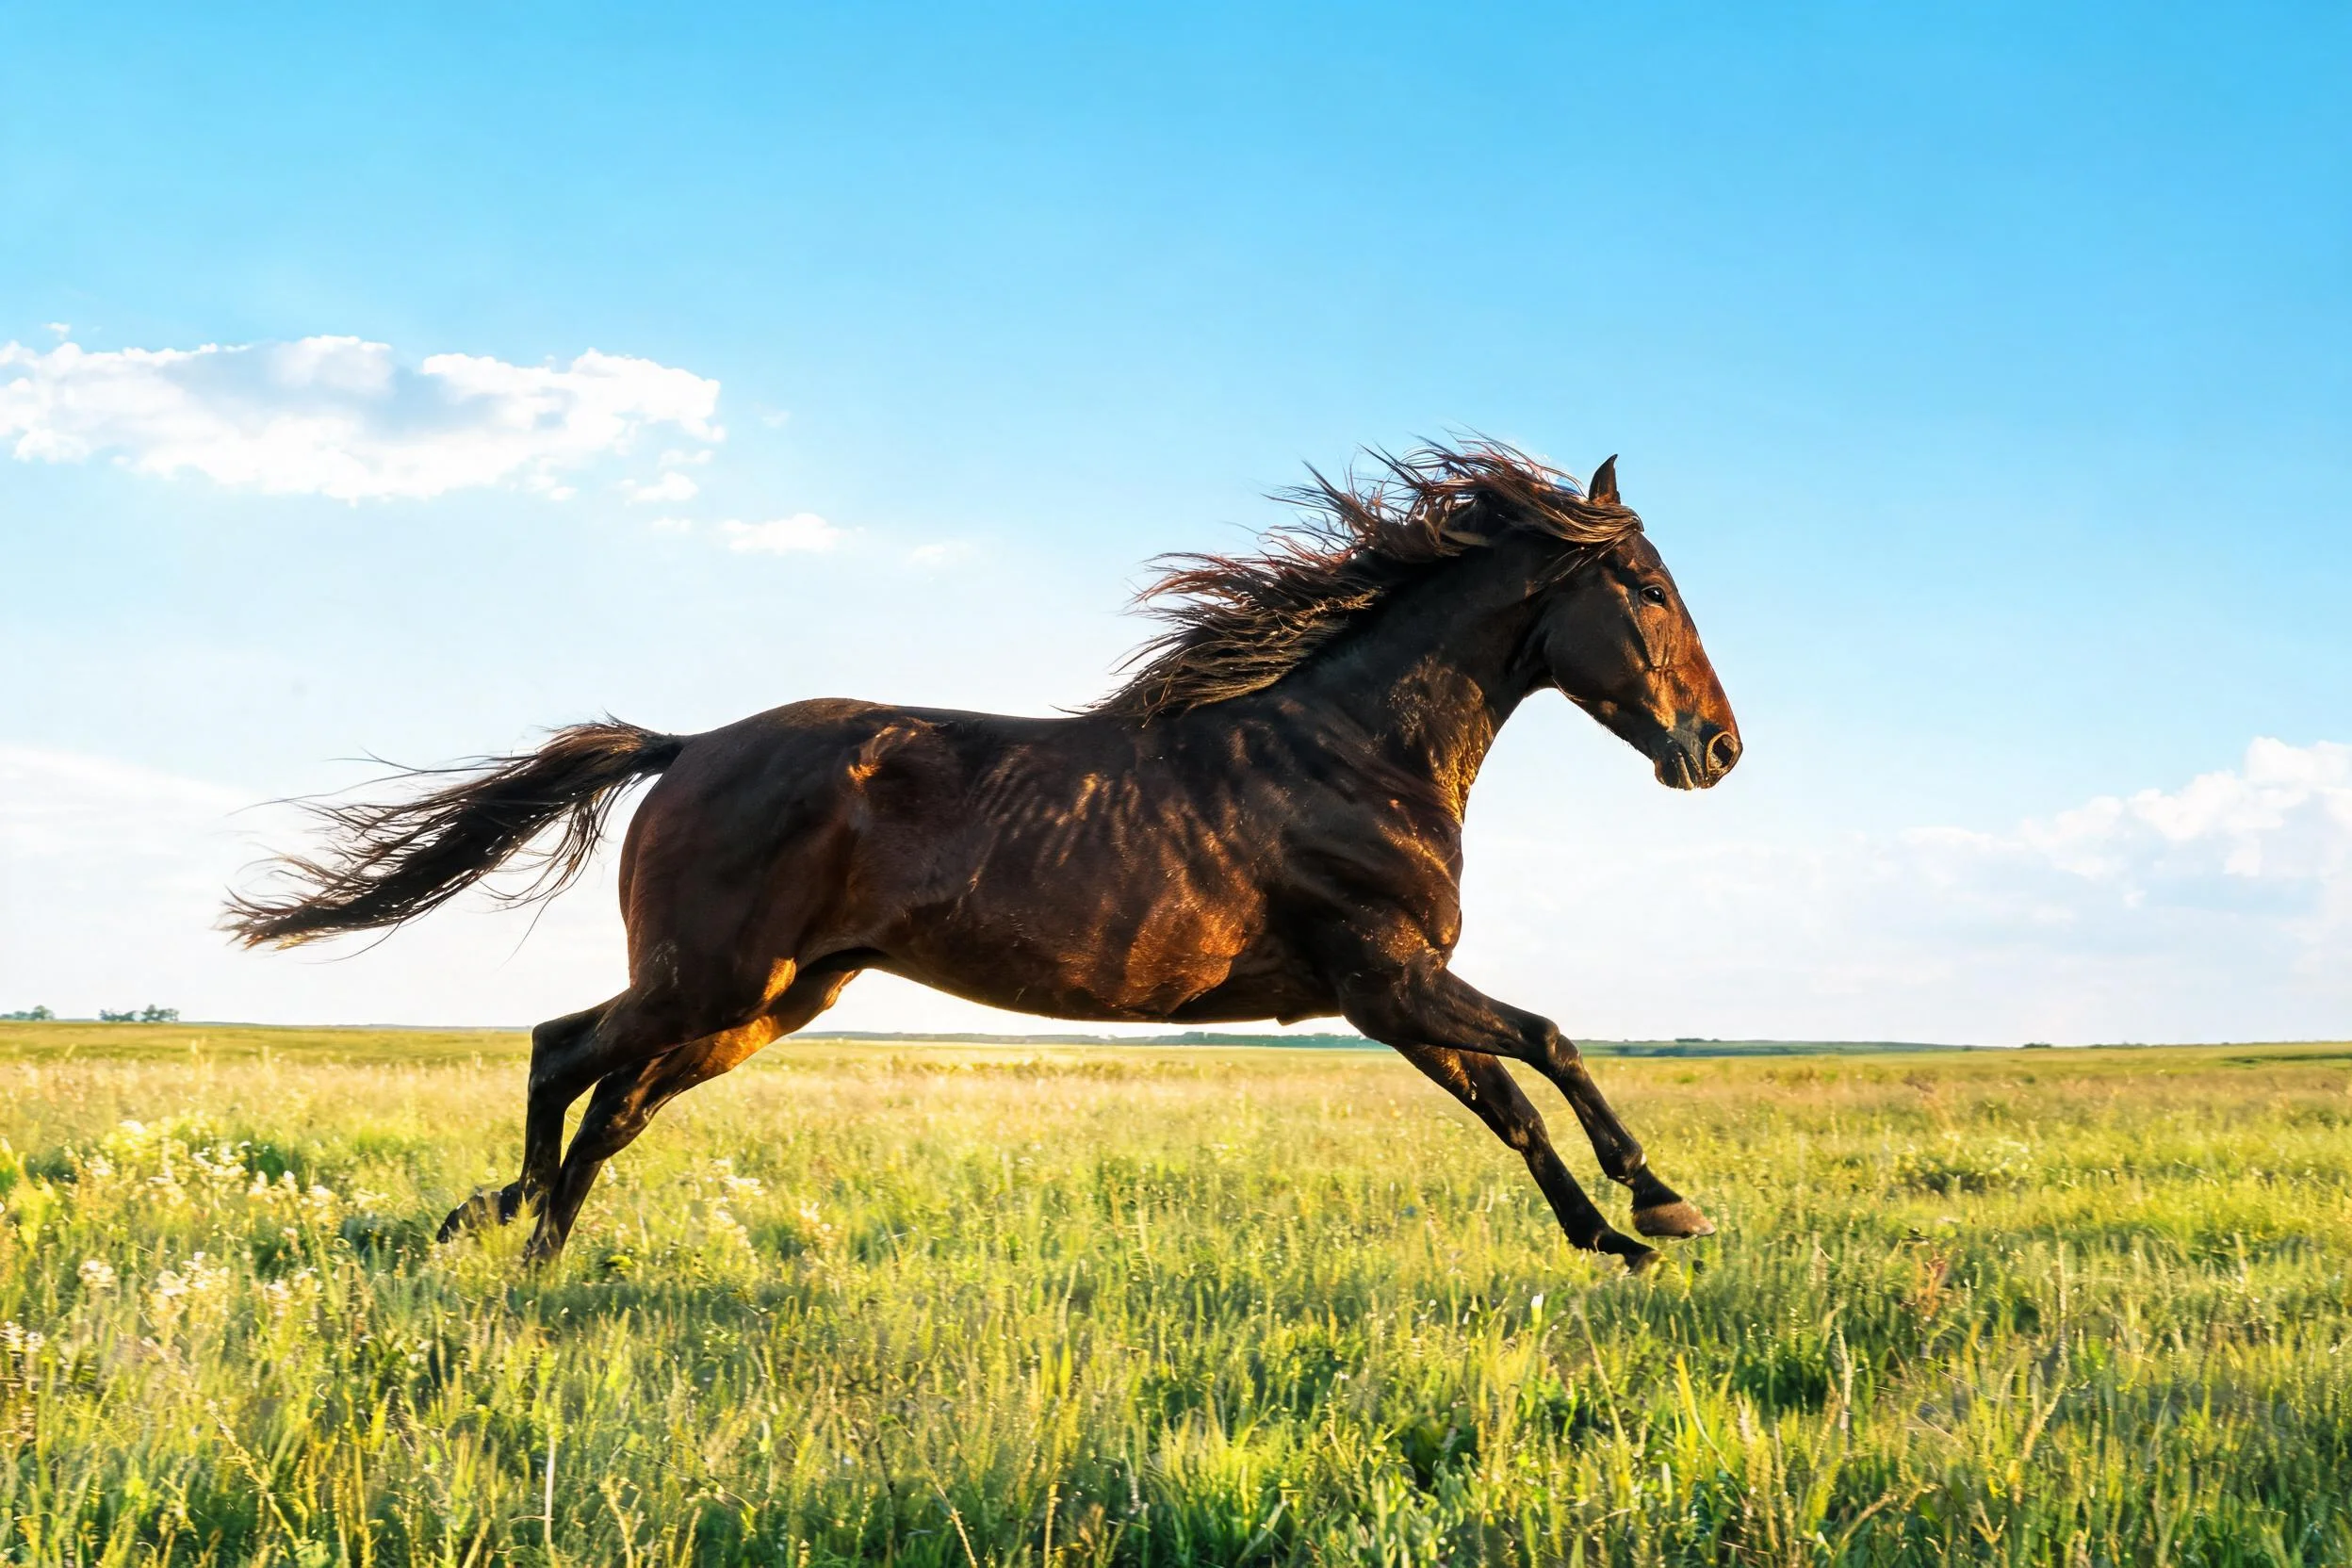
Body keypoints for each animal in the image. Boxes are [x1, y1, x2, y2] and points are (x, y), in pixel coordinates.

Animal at [225, 441, 1742, 1272]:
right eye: (1650, 588)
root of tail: (688, 745)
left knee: (612, 1100)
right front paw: (1664, 1204)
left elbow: (1514, 1105)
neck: (1347, 748)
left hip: (770, 1000)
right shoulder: (1389, 974)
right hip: (713, 982)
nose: (1717, 748)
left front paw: (1612, 1237)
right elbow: (1550, 1044)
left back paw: (517, 1234)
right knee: (565, 1055)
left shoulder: (1389, 993)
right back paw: (516, 1234)